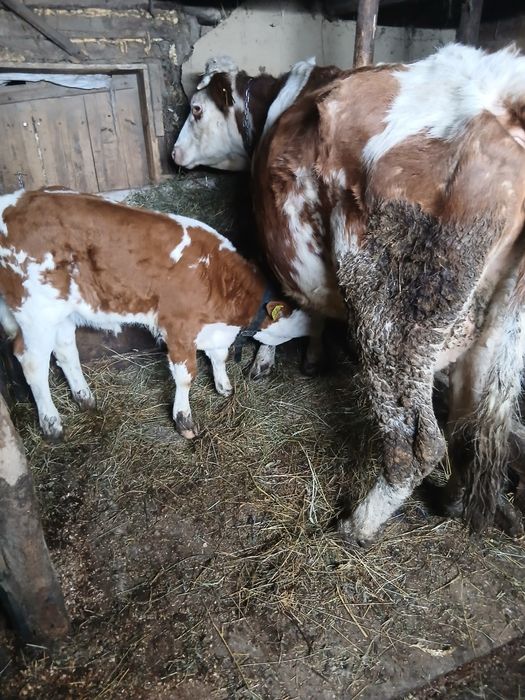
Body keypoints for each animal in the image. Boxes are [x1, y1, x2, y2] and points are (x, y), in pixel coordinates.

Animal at [0, 189, 311, 440]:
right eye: (303, 311)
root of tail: (13, 201)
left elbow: (219, 356)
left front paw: (223, 387)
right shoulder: (178, 327)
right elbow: (186, 375)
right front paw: (184, 421)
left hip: (62, 311)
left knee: (65, 349)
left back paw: (85, 398)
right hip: (35, 312)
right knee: (32, 362)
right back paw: (52, 424)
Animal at [173, 44, 525, 543]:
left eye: (197, 110)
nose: (174, 152)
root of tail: (501, 97)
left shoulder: (274, 245)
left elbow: (289, 306)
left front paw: (269, 359)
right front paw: (314, 356)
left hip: (393, 320)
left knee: (417, 445)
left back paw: (356, 525)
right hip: (495, 328)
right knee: (471, 423)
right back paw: (452, 500)